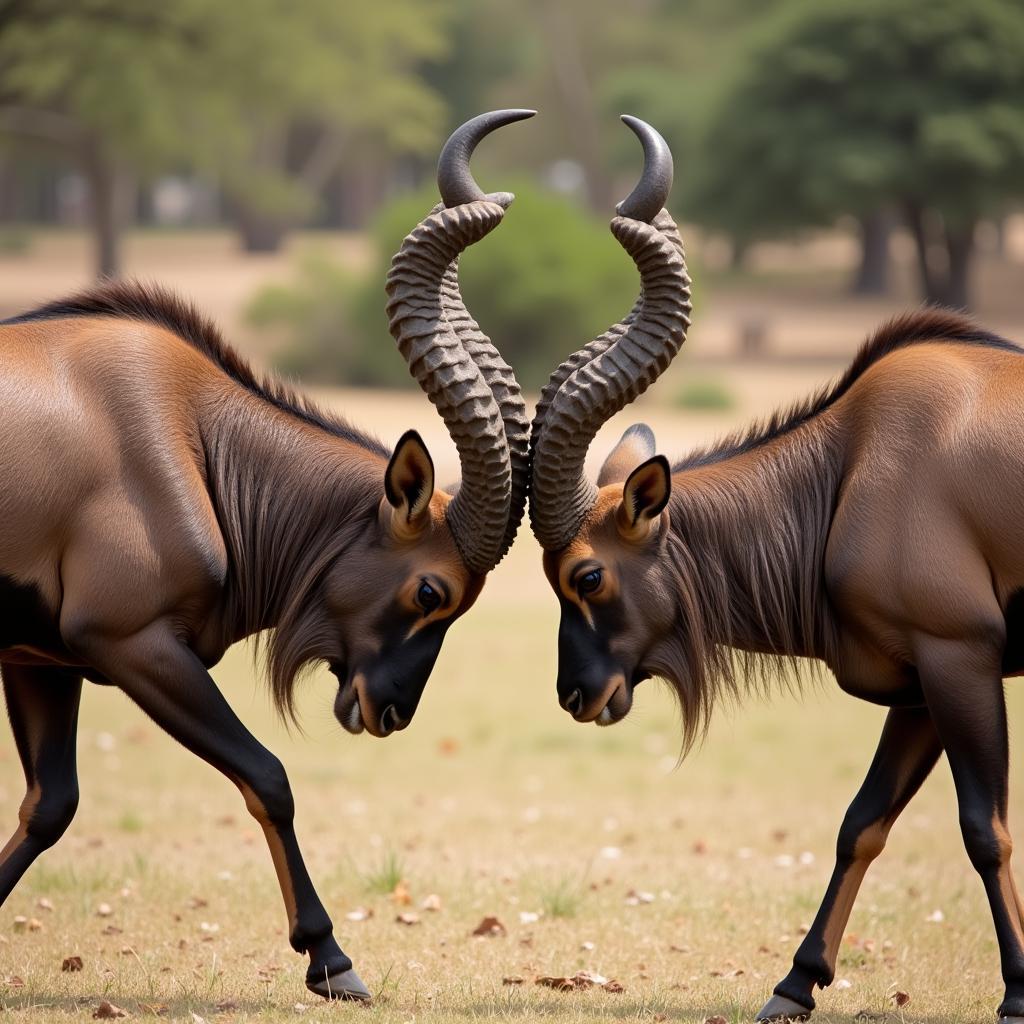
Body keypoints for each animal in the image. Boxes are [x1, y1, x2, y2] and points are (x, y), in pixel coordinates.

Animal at [0, 110, 532, 999]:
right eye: (432, 591)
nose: (389, 710)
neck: (178, 428)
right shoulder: (133, 643)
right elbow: (268, 778)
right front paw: (332, 959)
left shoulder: (41, 658)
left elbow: (50, 803)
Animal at [532, 117, 1024, 1024]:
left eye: (586, 575)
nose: (577, 694)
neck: (857, 462)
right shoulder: (922, 687)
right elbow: (863, 821)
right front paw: (794, 985)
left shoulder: (961, 660)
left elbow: (985, 829)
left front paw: (1015, 992)